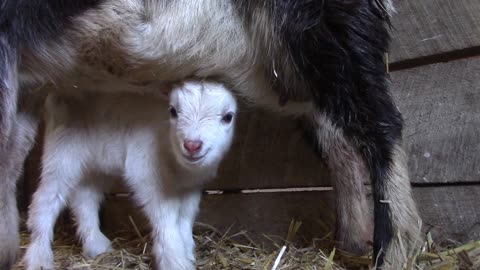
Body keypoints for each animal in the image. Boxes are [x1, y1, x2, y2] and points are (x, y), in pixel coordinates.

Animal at [24, 80, 238, 270]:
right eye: (173, 111)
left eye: (228, 117)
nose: (192, 145)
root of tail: (58, 93)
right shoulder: (147, 172)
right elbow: (166, 215)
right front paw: (175, 260)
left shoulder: (191, 184)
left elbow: (186, 217)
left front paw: (187, 252)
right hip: (63, 153)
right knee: (46, 199)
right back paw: (40, 256)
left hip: (95, 162)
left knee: (85, 197)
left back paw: (95, 244)